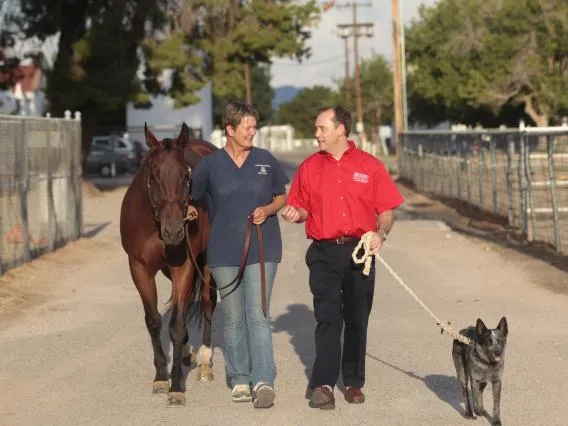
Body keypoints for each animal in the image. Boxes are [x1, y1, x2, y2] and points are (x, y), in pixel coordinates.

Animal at [120, 122, 217, 406]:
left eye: (187, 178)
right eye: (153, 177)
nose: (174, 231)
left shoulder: (184, 267)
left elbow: (177, 324)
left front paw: (176, 387)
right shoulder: (139, 268)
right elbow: (154, 321)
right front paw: (161, 377)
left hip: (206, 263)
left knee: (207, 303)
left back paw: (204, 361)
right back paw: (185, 351)